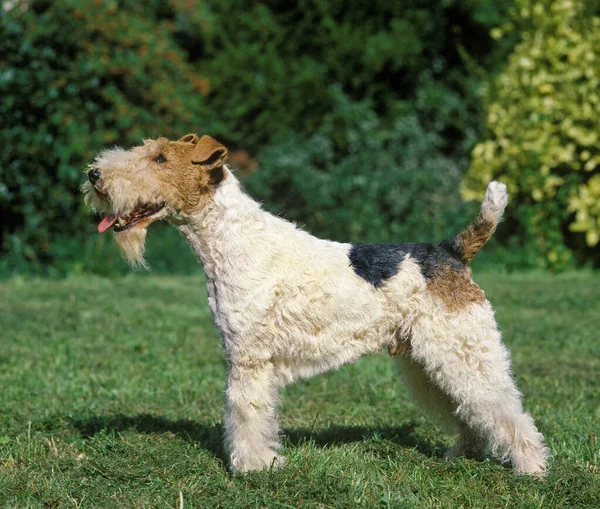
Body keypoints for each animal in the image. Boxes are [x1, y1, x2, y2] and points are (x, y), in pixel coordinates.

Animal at [83, 133, 548, 474]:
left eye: (160, 158)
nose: (93, 174)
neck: (230, 242)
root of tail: (452, 250)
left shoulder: (249, 359)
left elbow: (246, 414)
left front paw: (253, 467)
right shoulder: (246, 356)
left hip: (463, 352)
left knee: (507, 411)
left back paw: (532, 470)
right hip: (426, 361)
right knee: (468, 412)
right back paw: (462, 455)